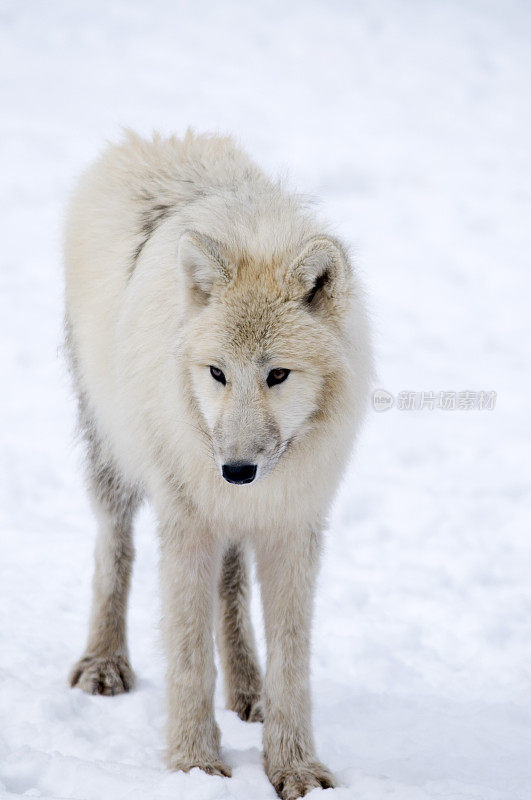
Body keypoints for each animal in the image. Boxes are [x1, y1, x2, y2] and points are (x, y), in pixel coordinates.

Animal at [65, 128, 374, 796]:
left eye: (277, 375)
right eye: (217, 373)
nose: (235, 470)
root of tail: (156, 138)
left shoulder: (293, 527)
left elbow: (291, 662)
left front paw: (295, 768)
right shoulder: (187, 522)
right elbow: (186, 655)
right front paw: (195, 765)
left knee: (231, 589)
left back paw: (247, 689)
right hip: (112, 456)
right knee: (112, 547)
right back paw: (104, 663)